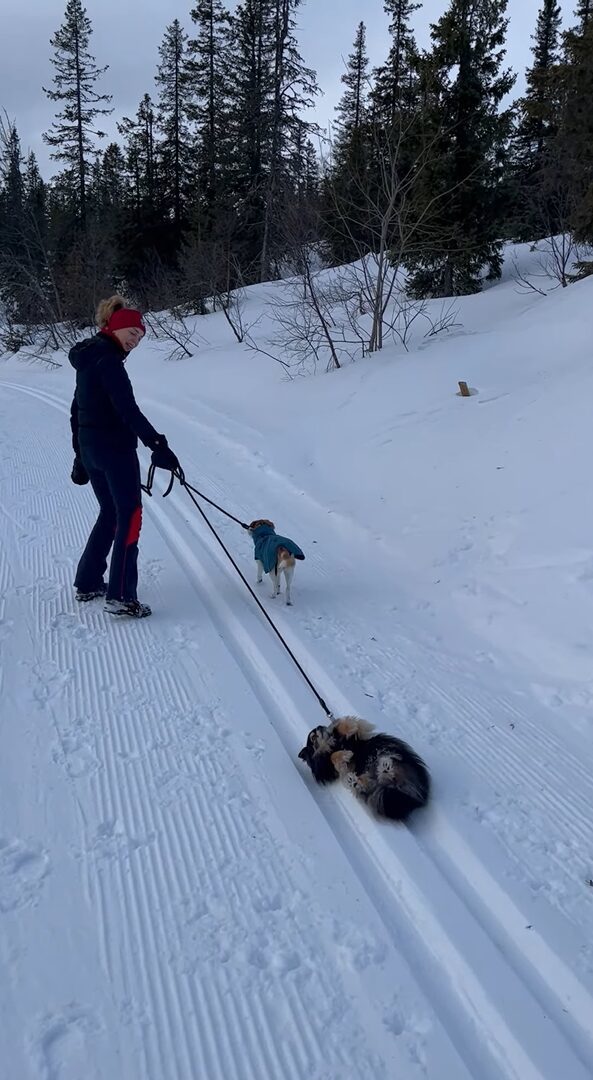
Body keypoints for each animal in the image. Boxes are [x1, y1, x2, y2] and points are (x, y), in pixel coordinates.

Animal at [295, 717, 429, 816]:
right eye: (313, 737)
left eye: (318, 729)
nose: (319, 726)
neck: (335, 745)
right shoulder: (330, 769)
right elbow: (333, 756)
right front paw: (346, 754)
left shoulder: (358, 735)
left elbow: (347, 726)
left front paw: (344, 725)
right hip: (376, 785)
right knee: (369, 783)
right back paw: (356, 780)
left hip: (389, 751)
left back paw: (385, 767)